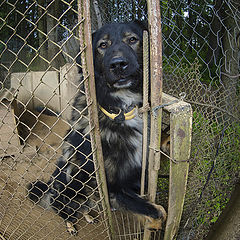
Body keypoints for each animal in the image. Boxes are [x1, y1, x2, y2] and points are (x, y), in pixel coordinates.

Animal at [27, 21, 167, 235]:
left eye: (132, 39)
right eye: (102, 45)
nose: (118, 64)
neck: (121, 111)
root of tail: (49, 189)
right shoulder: (109, 186)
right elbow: (155, 210)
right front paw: (155, 222)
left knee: (85, 208)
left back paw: (89, 217)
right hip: (67, 195)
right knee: (66, 215)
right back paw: (71, 226)